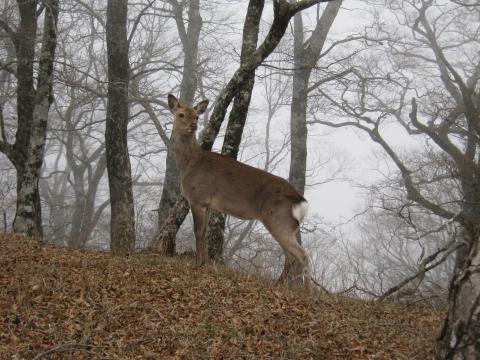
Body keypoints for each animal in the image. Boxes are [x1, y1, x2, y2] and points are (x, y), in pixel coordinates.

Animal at [169, 94, 312, 286]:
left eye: (197, 116)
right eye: (181, 114)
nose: (193, 126)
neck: (188, 164)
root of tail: (300, 200)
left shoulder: (197, 198)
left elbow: (198, 232)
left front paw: (197, 265)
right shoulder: (207, 204)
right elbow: (204, 233)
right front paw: (204, 263)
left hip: (278, 219)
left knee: (302, 255)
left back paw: (308, 290)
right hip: (289, 225)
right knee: (291, 255)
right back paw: (277, 284)